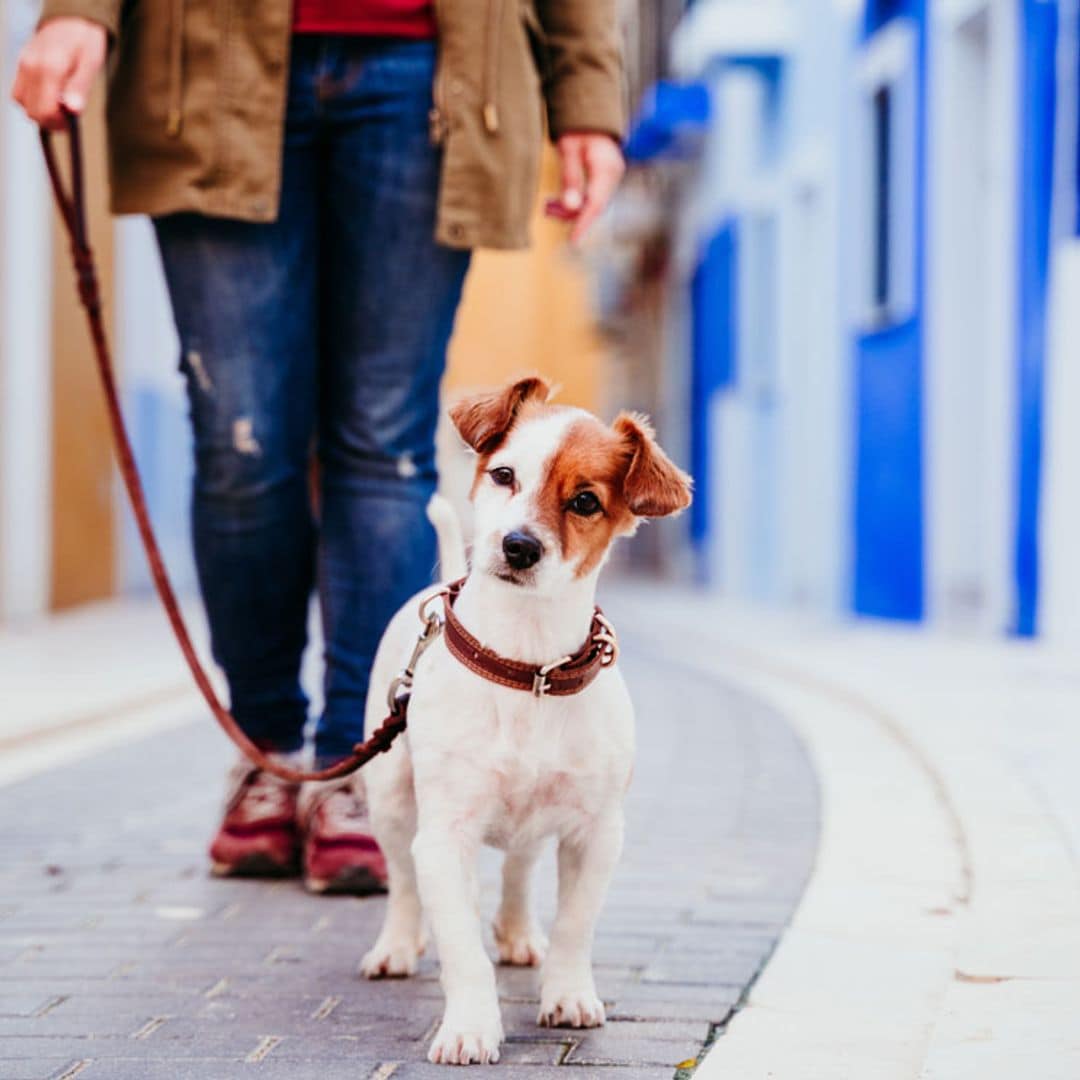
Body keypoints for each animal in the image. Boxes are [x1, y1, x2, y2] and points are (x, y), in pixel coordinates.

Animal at [356, 378, 691, 1062]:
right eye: (504, 474)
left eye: (585, 501)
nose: (518, 545)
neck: (528, 666)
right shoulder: (444, 838)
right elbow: (461, 947)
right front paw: (470, 1027)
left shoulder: (596, 834)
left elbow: (574, 926)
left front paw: (567, 995)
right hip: (392, 800)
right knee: (402, 882)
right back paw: (398, 946)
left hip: (534, 822)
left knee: (519, 868)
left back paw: (516, 932)